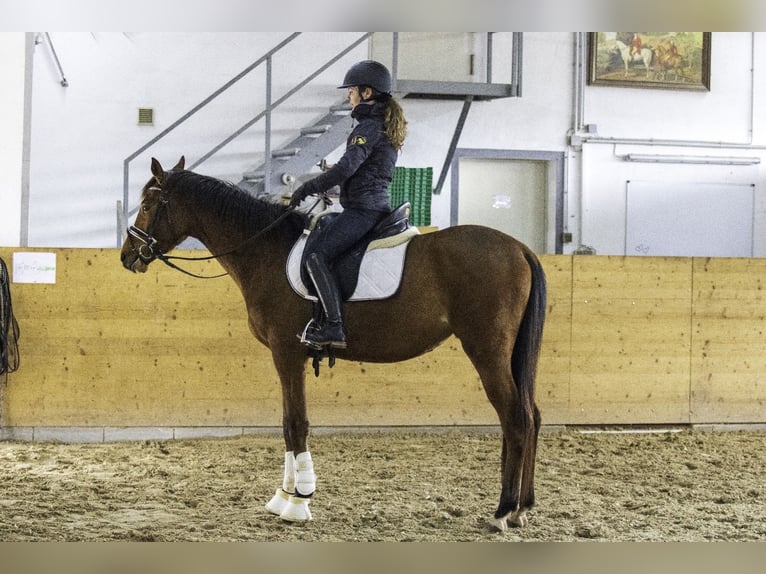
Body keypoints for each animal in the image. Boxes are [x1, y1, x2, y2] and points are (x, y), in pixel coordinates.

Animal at [120, 158, 548, 536]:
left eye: (147, 205)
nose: (127, 256)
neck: (267, 250)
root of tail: (519, 249)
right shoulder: (285, 356)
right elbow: (286, 424)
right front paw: (283, 496)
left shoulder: (286, 353)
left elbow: (296, 423)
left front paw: (298, 502)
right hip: (509, 355)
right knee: (531, 415)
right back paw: (522, 508)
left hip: (488, 351)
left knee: (515, 418)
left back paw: (502, 511)